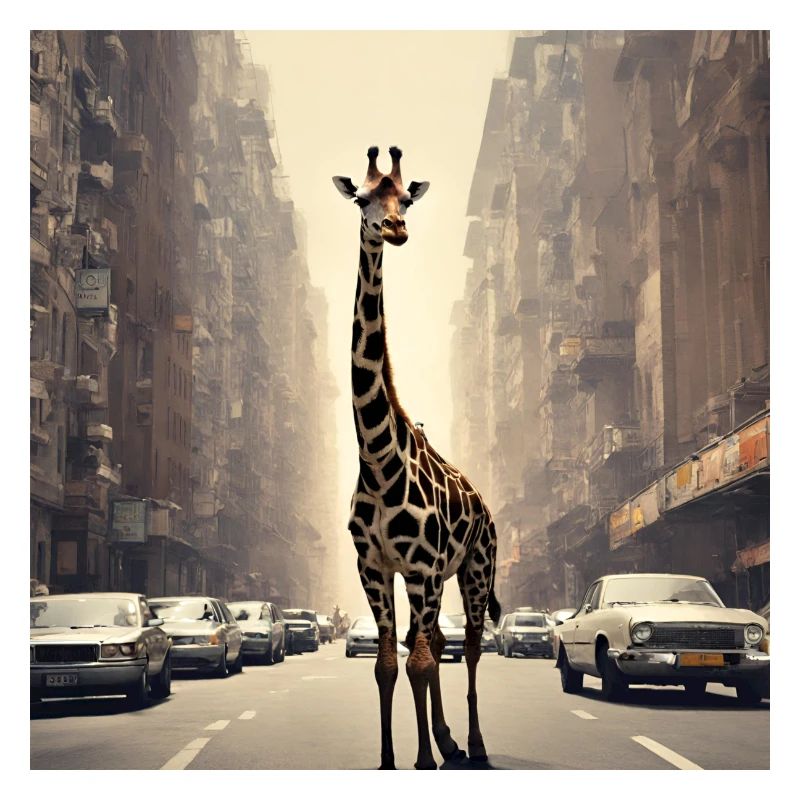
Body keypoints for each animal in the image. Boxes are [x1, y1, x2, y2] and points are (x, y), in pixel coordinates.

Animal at [333, 146, 501, 770]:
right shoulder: (376, 567)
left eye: (405, 198)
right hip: (432, 579)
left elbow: (421, 662)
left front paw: (425, 758)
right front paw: (391, 758)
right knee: (435, 642)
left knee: (468, 645)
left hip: (475, 567)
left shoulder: (425, 568)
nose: (394, 229)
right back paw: (450, 740)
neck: (380, 462)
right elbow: (388, 664)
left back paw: (473, 745)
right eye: (362, 198)